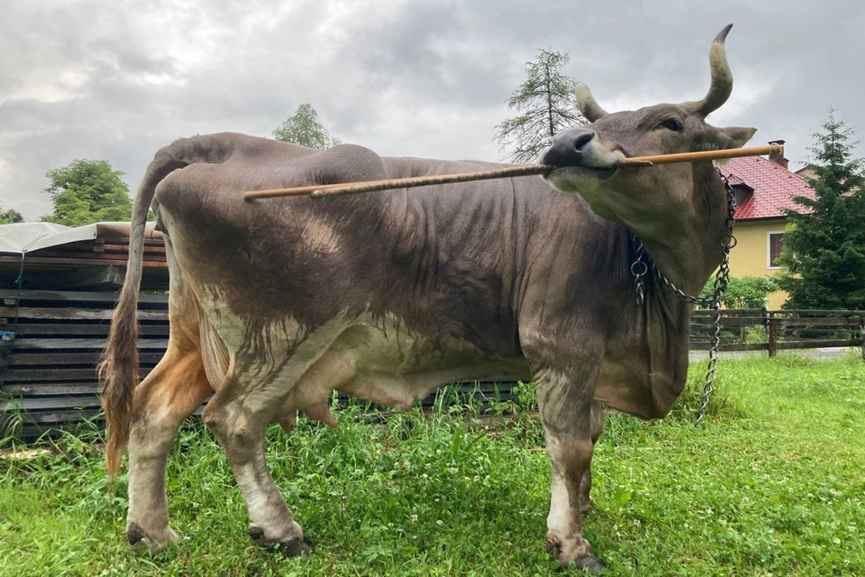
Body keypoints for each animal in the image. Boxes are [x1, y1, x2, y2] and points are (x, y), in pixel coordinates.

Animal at [100, 25, 755, 571]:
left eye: (669, 122)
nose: (568, 144)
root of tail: (226, 143)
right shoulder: (561, 347)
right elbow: (569, 449)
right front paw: (571, 543)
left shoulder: (597, 361)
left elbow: (590, 442)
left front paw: (583, 512)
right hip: (280, 334)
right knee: (233, 419)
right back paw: (280, 530)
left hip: (197, 334)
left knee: (154, 411)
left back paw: (152, 533)